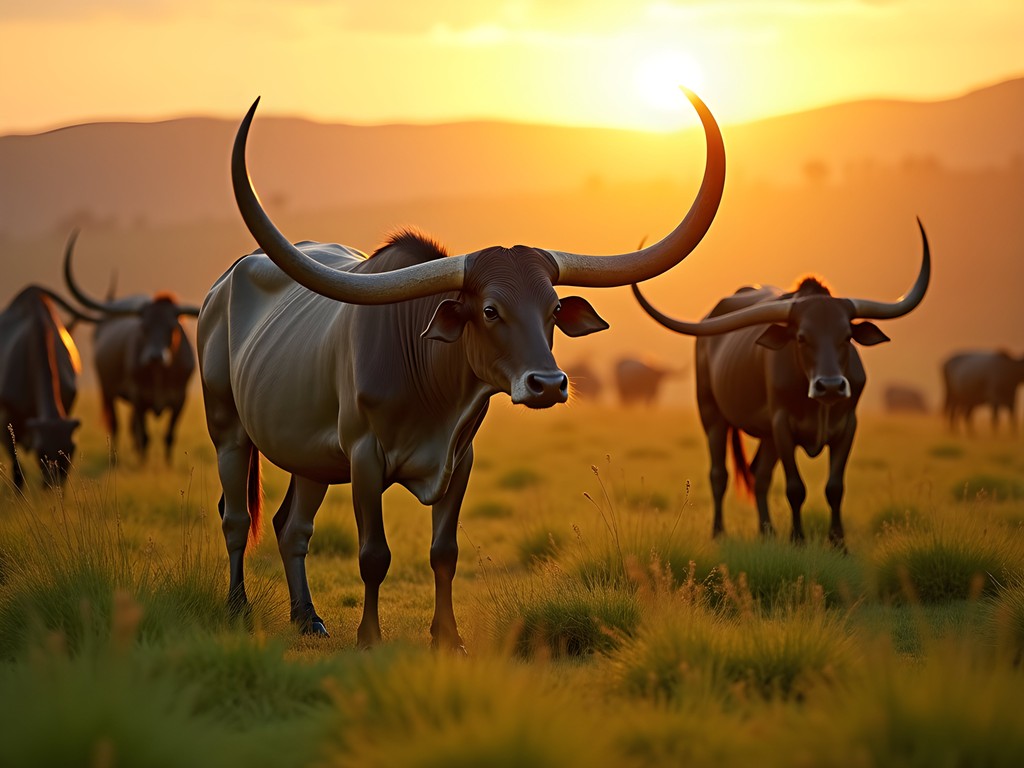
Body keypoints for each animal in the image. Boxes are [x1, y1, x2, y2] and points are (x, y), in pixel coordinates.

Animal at [62, 231, 201, 464]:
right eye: (144, 326)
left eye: (172, 327)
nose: (155, 356)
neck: (160, 373)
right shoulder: (138, 397)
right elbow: (144, 435)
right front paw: (143, 466)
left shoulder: (180, 399)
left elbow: (169, 435)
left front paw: (167, 465)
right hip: (107, 390)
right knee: (117, 426)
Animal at [198, 89, 725, 648]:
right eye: (490, 310)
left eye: (555, 308)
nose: (548, 384)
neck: (429, 386)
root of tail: (221, 286)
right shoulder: (364, 458)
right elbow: (373, 554)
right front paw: (369, 637)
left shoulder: (460, 461)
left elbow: (443, 553)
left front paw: (448, 637)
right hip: (228, 430)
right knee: (236, 519)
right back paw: (238, 607)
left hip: (311, 457)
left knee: (291, 527)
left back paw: (308, 618)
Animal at [631, 220, 930, 546]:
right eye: (801, 337)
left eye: (847, 336)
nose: (831, 386)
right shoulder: (782, 425)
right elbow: (795, 488)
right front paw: (797, 539)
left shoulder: (847, 426)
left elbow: (835, 487)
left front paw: (838, 542)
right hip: (713, 415)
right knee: (719, 474)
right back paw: (719, 532)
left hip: (766, 435)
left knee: (759, 474)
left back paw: (767, 532)